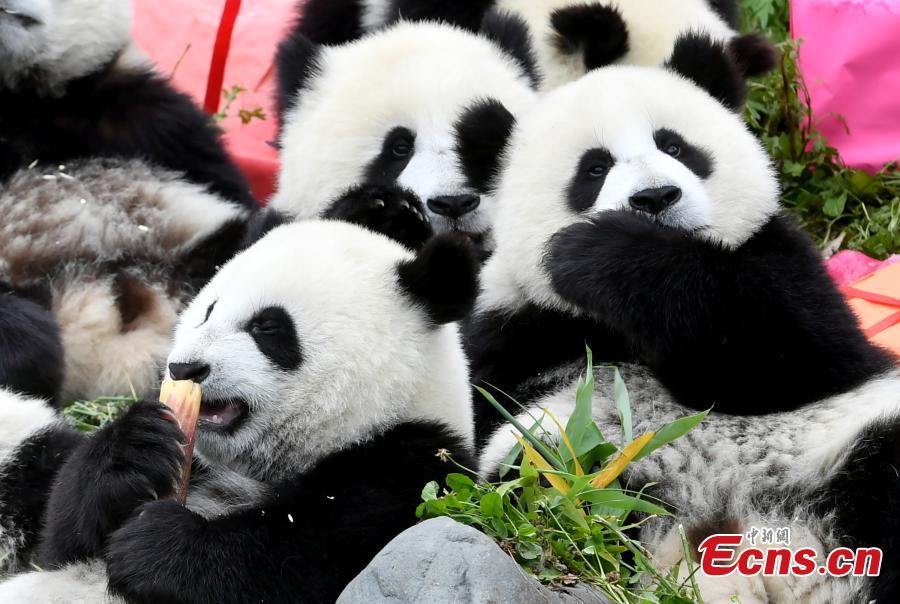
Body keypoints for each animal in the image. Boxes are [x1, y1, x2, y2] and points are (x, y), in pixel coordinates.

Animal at [0, 220, 478, 604]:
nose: (184, 368)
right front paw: (132, 448)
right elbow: (58, 543)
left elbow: (300, 557)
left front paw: (155, 545)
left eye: (267, 326)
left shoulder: (410, 466)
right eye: (208, 311)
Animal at [472, 39, 899, 603]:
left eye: (675, 147)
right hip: (582, 463)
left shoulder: (781, 253)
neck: (611, 323)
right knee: (559, 490)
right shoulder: (509, 325)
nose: (655, 198)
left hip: (842, 442)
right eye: (594, 169)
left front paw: (603, 251)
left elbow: (791, 353)